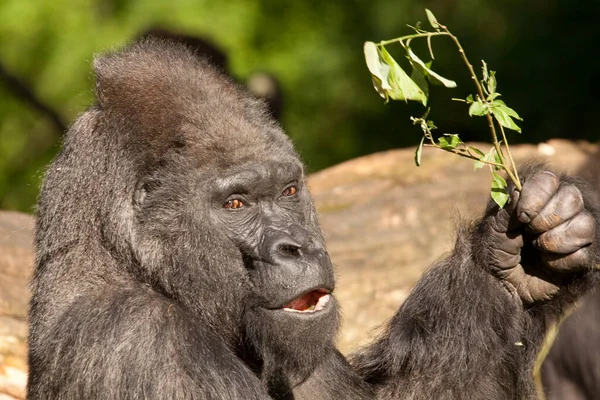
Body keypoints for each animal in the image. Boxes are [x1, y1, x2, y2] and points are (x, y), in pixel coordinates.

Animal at [27, 38, 600, 400]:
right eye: (236, 205)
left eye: (288, 191)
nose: (299, 246)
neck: (117, 260)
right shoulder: (146, 343)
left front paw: (513, 265)